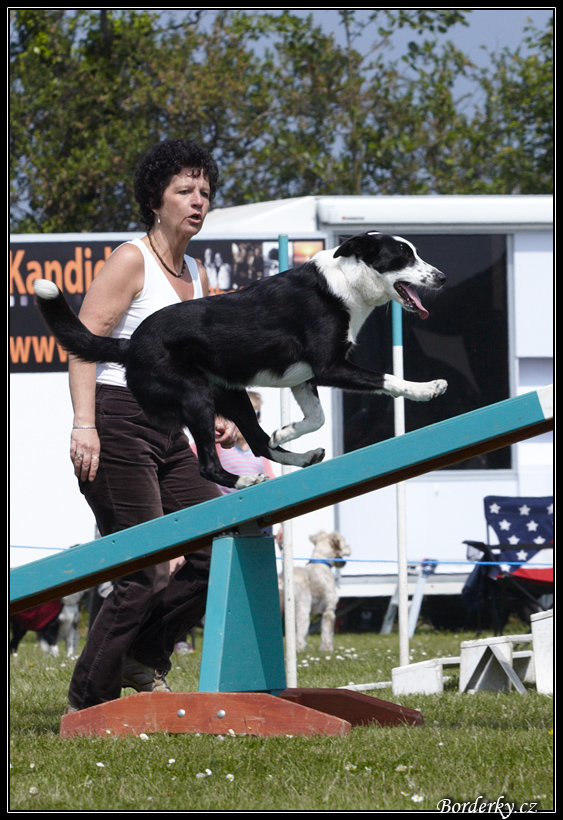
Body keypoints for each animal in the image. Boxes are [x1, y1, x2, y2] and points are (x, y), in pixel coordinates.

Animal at [34, 232, 450, 486]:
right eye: (403, 256)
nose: (443, 277)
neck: (345, 281)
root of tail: (128, 345)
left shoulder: (305, 378)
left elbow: (315, 418)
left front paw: (287, 431)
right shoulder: (328, 366)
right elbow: (386, 380)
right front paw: (427, 388)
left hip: (232, 396)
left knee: (258, 442)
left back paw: (302, 456)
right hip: (196, 397)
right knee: (208, 464)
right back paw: (245, 480)